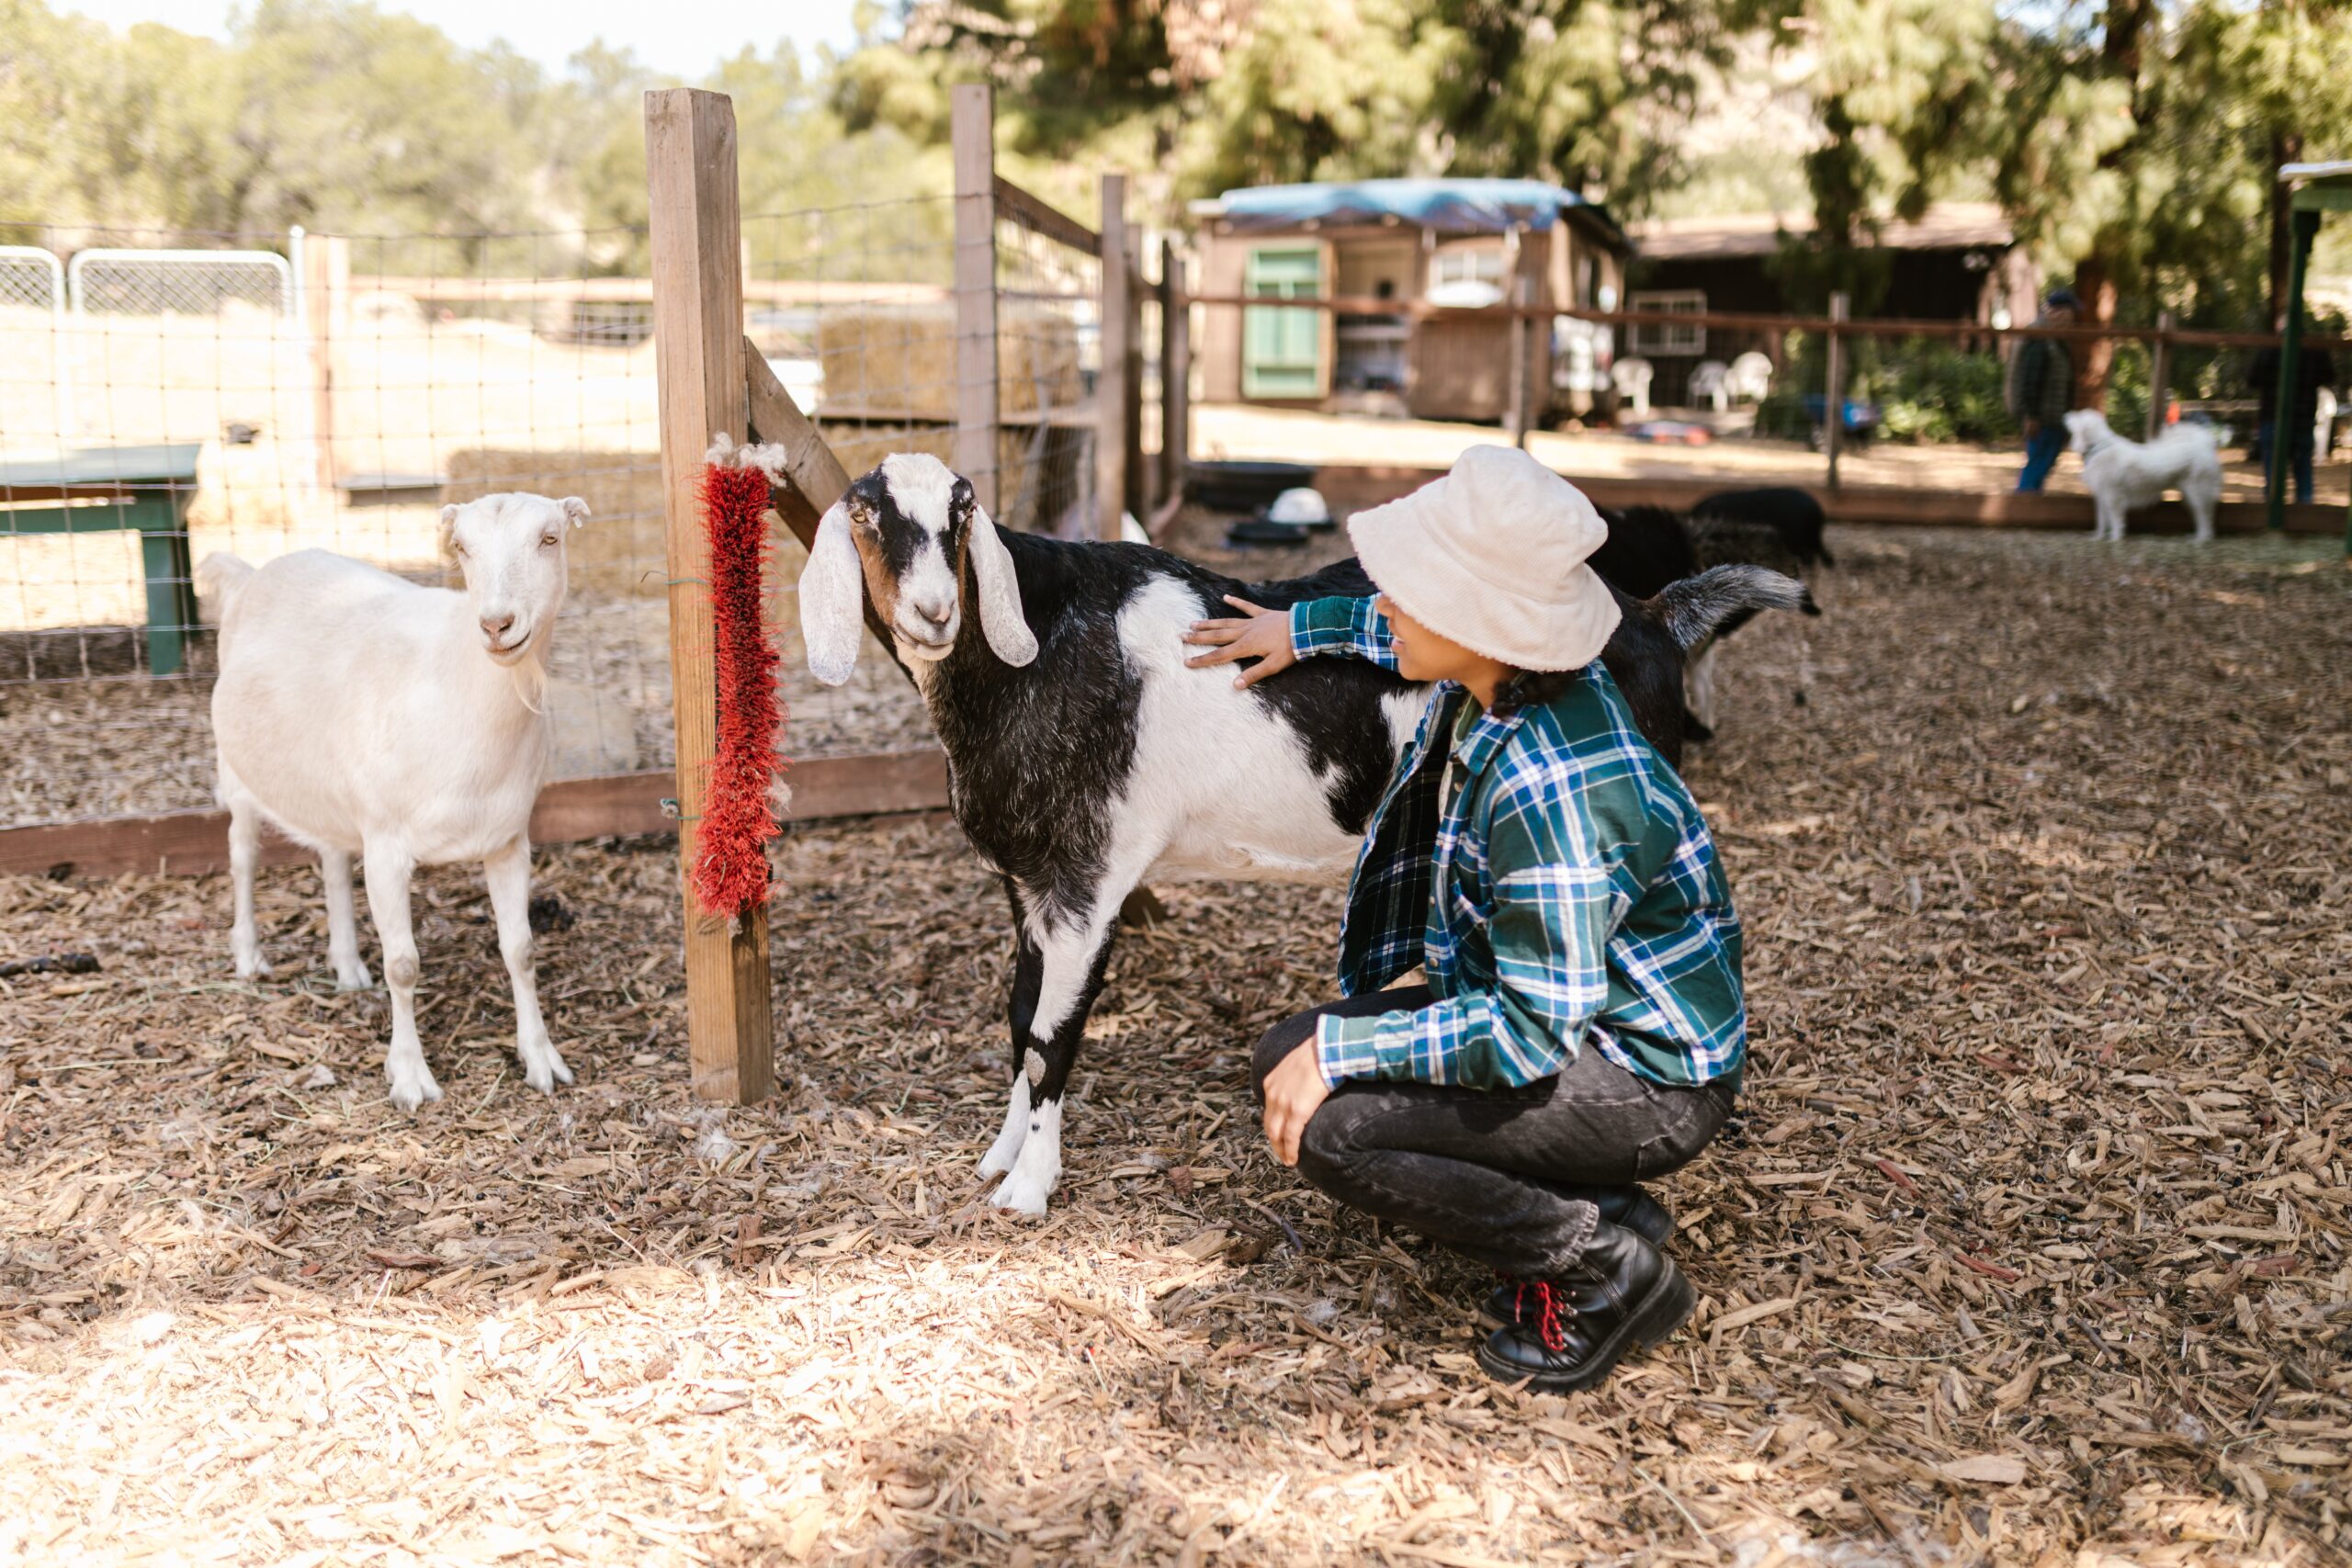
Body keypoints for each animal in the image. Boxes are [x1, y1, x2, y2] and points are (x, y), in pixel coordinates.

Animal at [198, 493, 593, 1114]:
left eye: (550, 538)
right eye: (461, 547)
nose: (496, 624)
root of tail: (251, 573)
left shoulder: (509, 839)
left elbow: (521, 950)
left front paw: (541, 1059)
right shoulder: (386, 844)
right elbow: (404, 965)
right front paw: (409, 1076)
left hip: (328, 785)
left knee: (332, 859)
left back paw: (347, 964)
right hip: (236, 771)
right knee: (242, 854)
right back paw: (249, 955)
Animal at [799, 453, 1806, 1213]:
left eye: (963, 513)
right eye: (865, 514)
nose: (934, 611)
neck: (1042, 648)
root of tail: (1654, 616)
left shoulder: (1091, 884)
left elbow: (1054, 1038)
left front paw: (1030, 1188)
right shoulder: (1031, 885)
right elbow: (1019, 1021)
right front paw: (1002, 1155)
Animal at [2060, 409, 2220, 543]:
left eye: (2079, 415)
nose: (2066, 414)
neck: (2097, 448)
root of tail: (2204, 446)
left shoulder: (2113, 497)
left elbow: (2116, 520)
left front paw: (2115, 539)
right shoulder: (2101, 497)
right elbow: (2101, 521)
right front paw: (2098, 537)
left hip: (2197, 493)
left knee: (2205, 517)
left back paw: (2202, 539)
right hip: (2190, 496)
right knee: (2202, 516)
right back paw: (2198, 536)